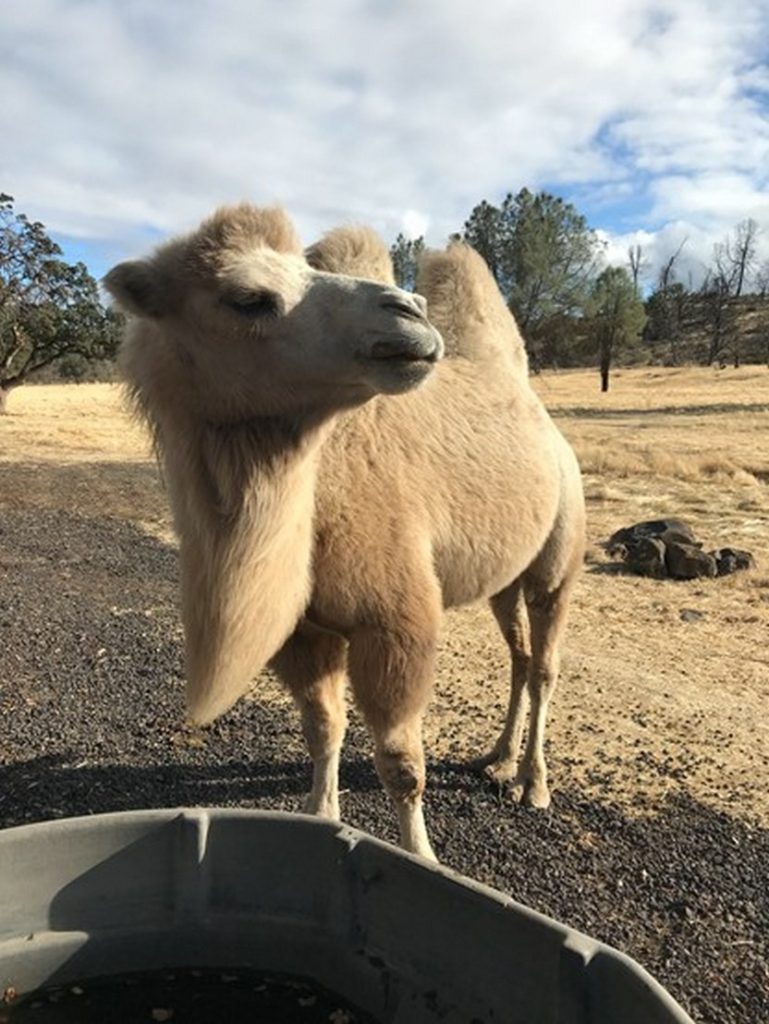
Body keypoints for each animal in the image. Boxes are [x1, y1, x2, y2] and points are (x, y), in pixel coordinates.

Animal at [105, 207, 585, 864]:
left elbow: (401, 762)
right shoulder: (305, 631)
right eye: (248, 298)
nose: (410, 311)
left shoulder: (394, 620)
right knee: (518, 654)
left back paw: (534, 785)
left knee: (545, 664)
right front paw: (319, 819)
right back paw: (497, 758)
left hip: (558, 555)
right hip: (502, 576)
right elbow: (323, 728)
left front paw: (421, 857)